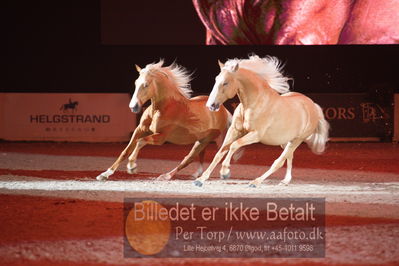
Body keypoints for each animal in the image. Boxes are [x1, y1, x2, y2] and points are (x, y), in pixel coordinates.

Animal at [96, 60, 231, 181]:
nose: (133, 107)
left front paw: (132, 166)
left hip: (205, 140)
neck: (160, 109)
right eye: (136, 83)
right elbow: (126, 150)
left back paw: (166, 176)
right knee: (199, 156)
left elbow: (140, 142)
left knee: (189, 158)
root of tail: (224, 110)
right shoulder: (140, 130)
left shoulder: (161, 137)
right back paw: (196, 174)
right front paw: (105, 174)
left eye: (146, 84)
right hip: (200, 139)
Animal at [195, 54, 330, 187]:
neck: (254, 103)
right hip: (285, 141)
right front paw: (201, 179)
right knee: (289, 157)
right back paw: (285, 181)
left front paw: (225, 172)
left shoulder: (256, 135)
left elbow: (234, 145)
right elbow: (220, 152)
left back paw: (256, 182)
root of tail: (313, 106)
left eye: (225, 83)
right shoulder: (235, 131)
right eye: (216, 80)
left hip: (297, 140)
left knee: (279, 162)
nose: (211, 105)